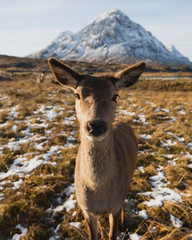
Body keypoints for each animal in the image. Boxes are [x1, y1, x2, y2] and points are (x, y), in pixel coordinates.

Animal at [48, 57, 146, 239]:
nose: (96, 126)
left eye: (115, 95)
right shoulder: (86, 209)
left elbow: (113, 233)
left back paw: (125, 223)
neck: (99, 191)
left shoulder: (114, 206)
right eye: (76, 94)